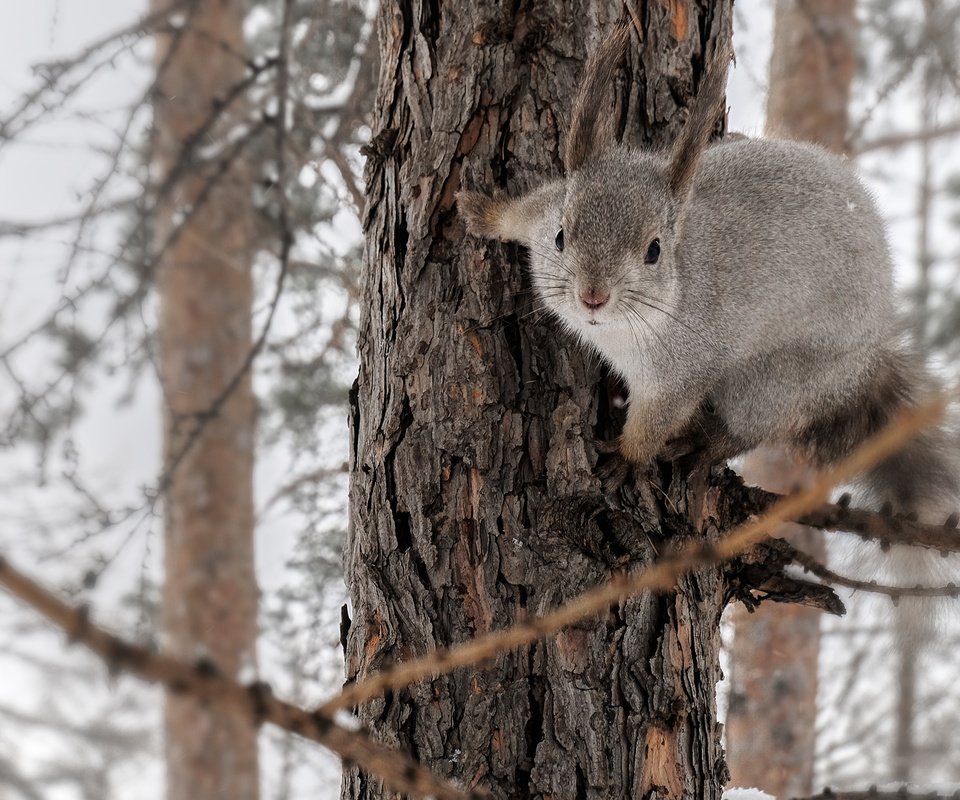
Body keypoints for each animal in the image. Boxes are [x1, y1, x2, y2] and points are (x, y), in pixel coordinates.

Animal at [460, 28, 960, 548]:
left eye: (654, 251)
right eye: (561, 235)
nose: (592, 296)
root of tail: (867, 364)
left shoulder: (682, 368)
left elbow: (656, 420)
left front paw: (627, 459)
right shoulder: (543, 211)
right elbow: (523, 213)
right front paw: (484, 212)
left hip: (771, 384)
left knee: (751, 427)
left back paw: (704, 443)